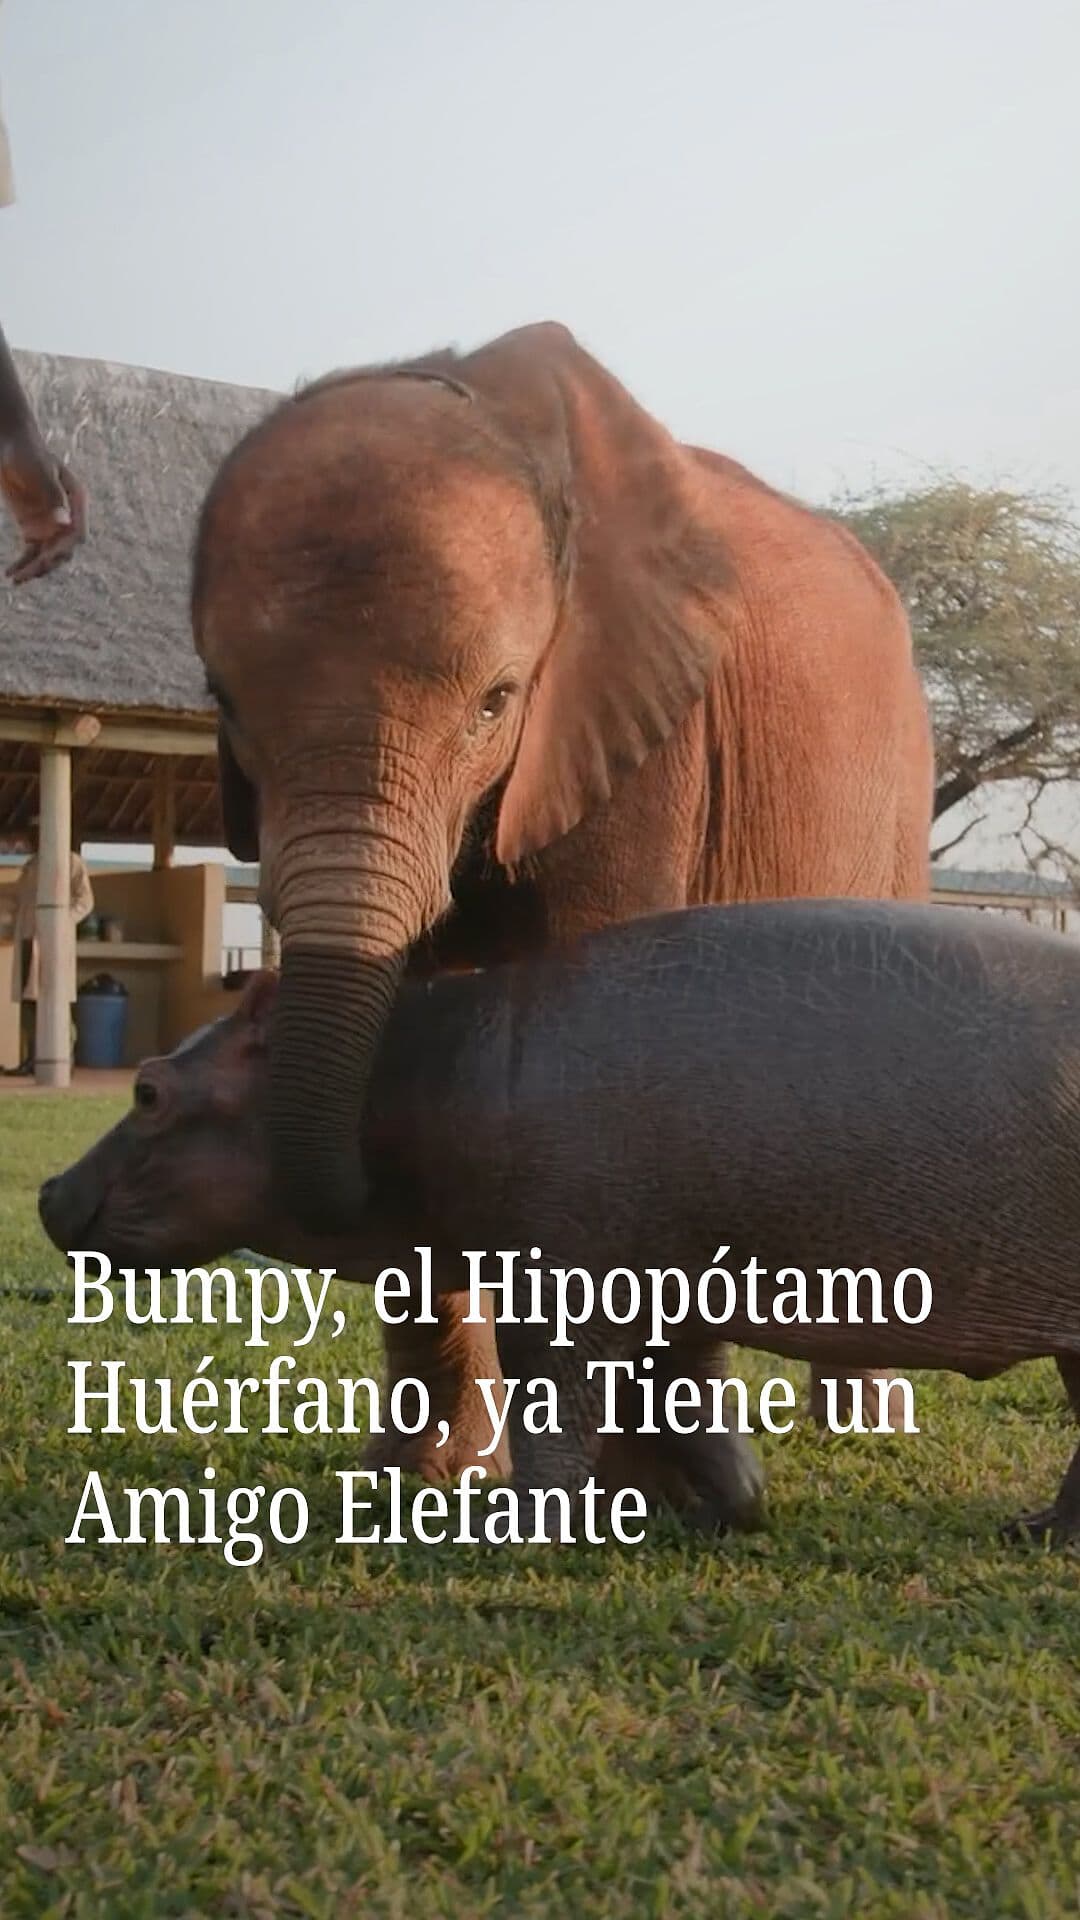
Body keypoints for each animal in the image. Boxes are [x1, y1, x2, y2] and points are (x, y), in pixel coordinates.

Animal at [39, 901, 1080, 1545]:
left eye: (148, 1089)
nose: (48, 1191)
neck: (421, 1072)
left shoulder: (560, 1289)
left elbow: (555, 1407)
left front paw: (511, 1529)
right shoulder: (661, 1291)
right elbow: (686, 1407)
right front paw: (721, 1514)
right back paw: (1034, 1534)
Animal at [190, 320, 934, 1499]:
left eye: (497, 703)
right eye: (222, 701)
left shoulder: (645, 726)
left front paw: (676, 1495)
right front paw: (425, 1481)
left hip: (902, 791)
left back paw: (863, 1426)